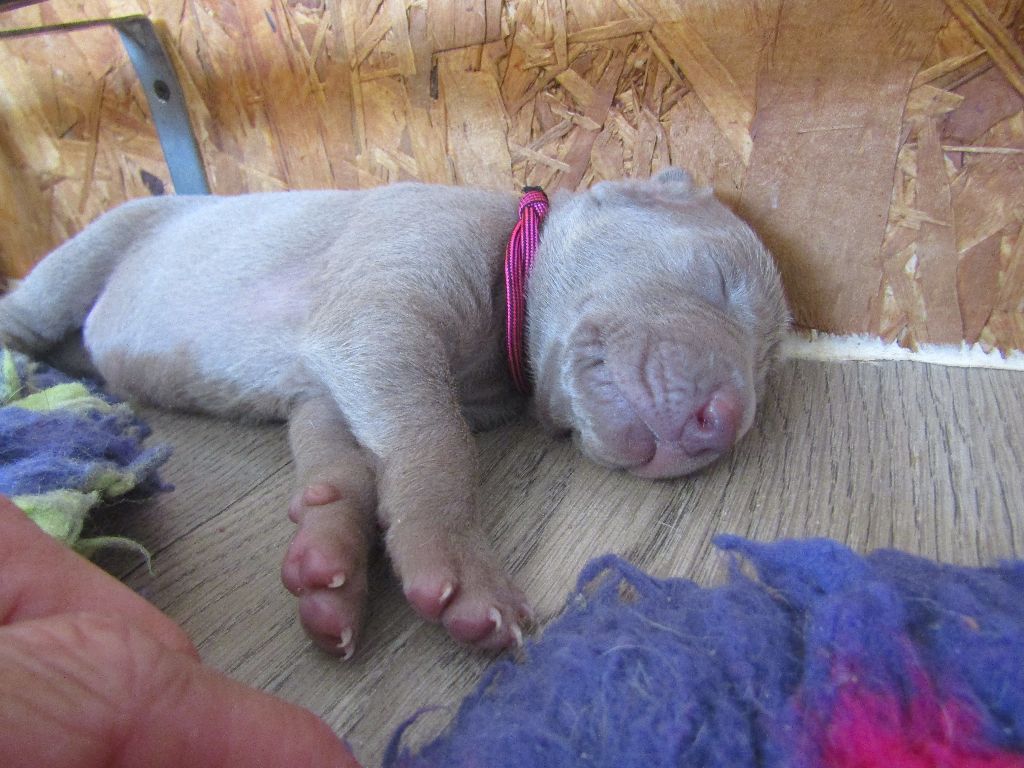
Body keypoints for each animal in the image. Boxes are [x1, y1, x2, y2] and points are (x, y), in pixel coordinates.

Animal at [0, 169, 790, 657]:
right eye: (718, 281)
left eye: (764, 364)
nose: (724, 420)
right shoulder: (383, 308)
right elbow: (436, 442)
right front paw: (459, 566)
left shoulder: (328, 385)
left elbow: (346, 459)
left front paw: (330, 564)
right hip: (99, 244)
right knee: (28, 311)